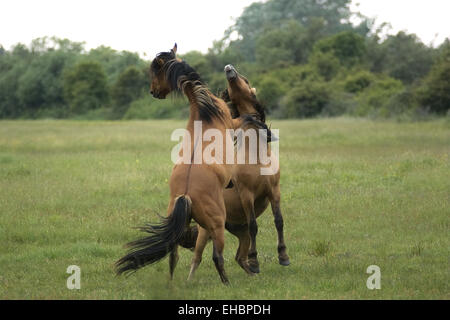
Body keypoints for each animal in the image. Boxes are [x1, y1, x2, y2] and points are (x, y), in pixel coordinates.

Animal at [115, 43, 236, 284]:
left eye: (156, 72)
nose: (153, 92)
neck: (204, 110)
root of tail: (185, 195)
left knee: (173, 255)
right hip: (218, 224)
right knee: (217, 256)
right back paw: (227, 284)